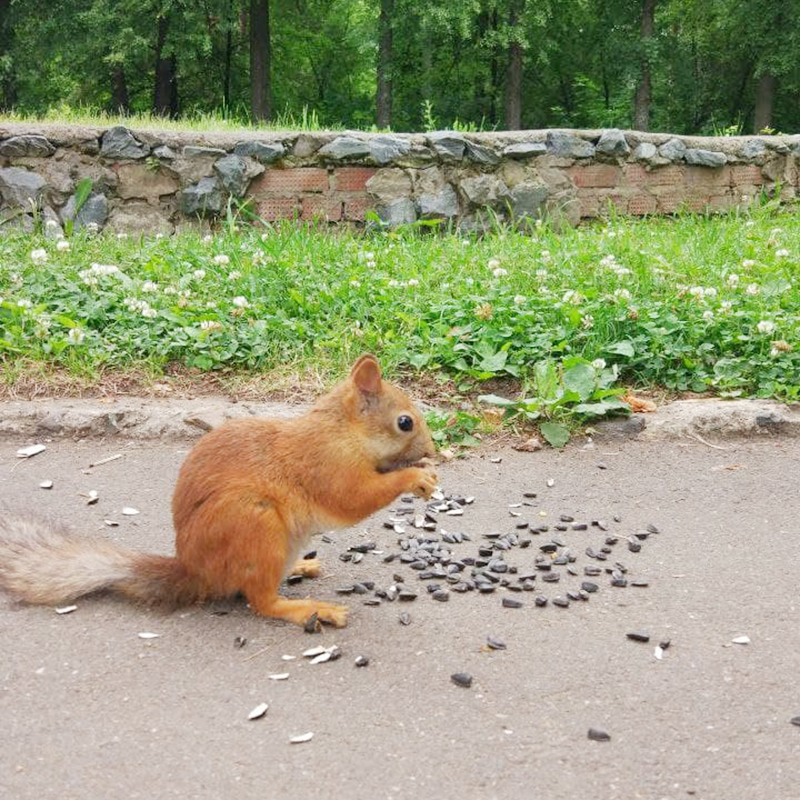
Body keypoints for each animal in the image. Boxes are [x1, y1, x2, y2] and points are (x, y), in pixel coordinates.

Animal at [0, 356, 438, 632]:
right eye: (404, 422)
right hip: (254, 523)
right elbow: (354, 499)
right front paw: (416, 478)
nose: (433, 451)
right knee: (262, 601)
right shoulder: (327, 466)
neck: (343, 431)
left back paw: (301, 567)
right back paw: (310, 610)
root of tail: (196, 571)